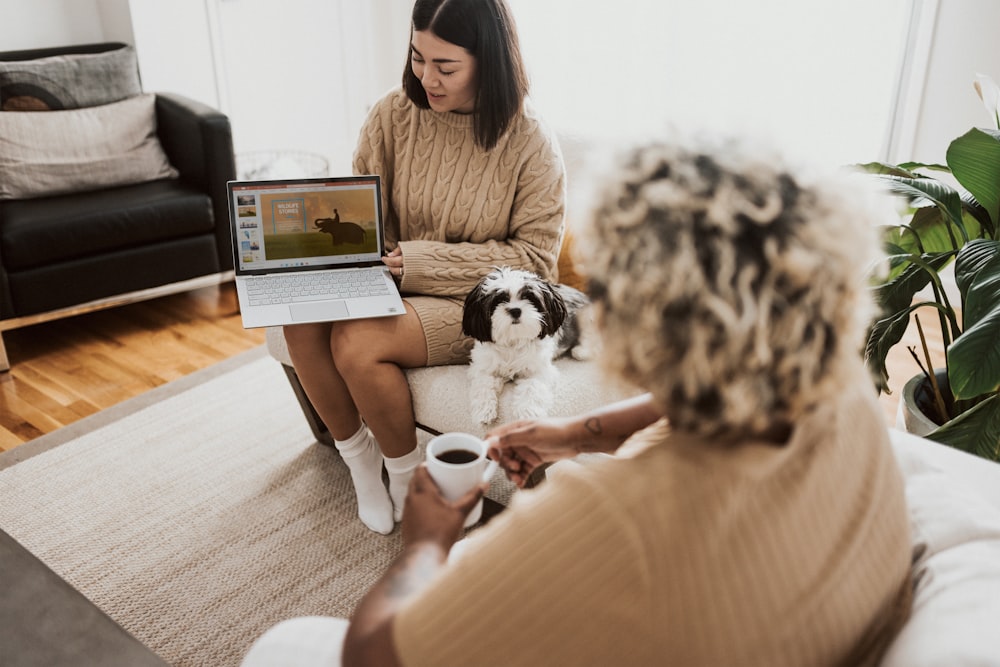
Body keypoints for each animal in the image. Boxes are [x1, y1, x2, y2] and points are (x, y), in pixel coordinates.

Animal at [462, 264, 588, 422]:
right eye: (499, 300)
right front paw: (483, 410)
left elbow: (531, 387)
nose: (515, 310)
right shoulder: (483, 368)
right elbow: (483, 385)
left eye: (529, 298)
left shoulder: (539, 371)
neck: (513, 340)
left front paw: (528, 413)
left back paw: (582, 350)